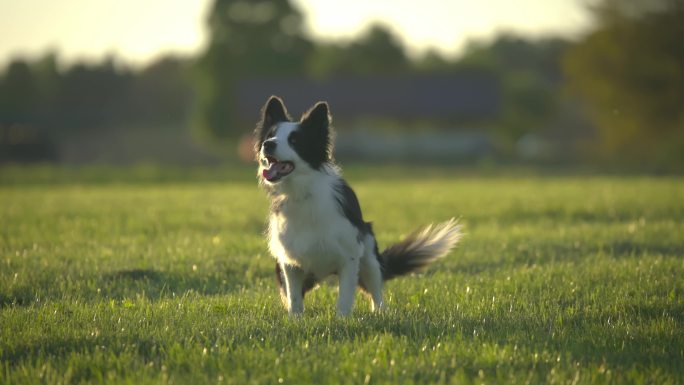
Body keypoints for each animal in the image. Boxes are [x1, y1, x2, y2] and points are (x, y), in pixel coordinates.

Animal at [256, 95, 464, 316]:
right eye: (270, 135)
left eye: (294, 140)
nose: (268, 144)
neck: (302, 193)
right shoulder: (289, 262)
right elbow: (294, 299)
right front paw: (296, 319)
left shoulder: (350, 256)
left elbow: (345, 298)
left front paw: (341, 319)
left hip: (369, 257)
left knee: (376, 292)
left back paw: (380, 313)